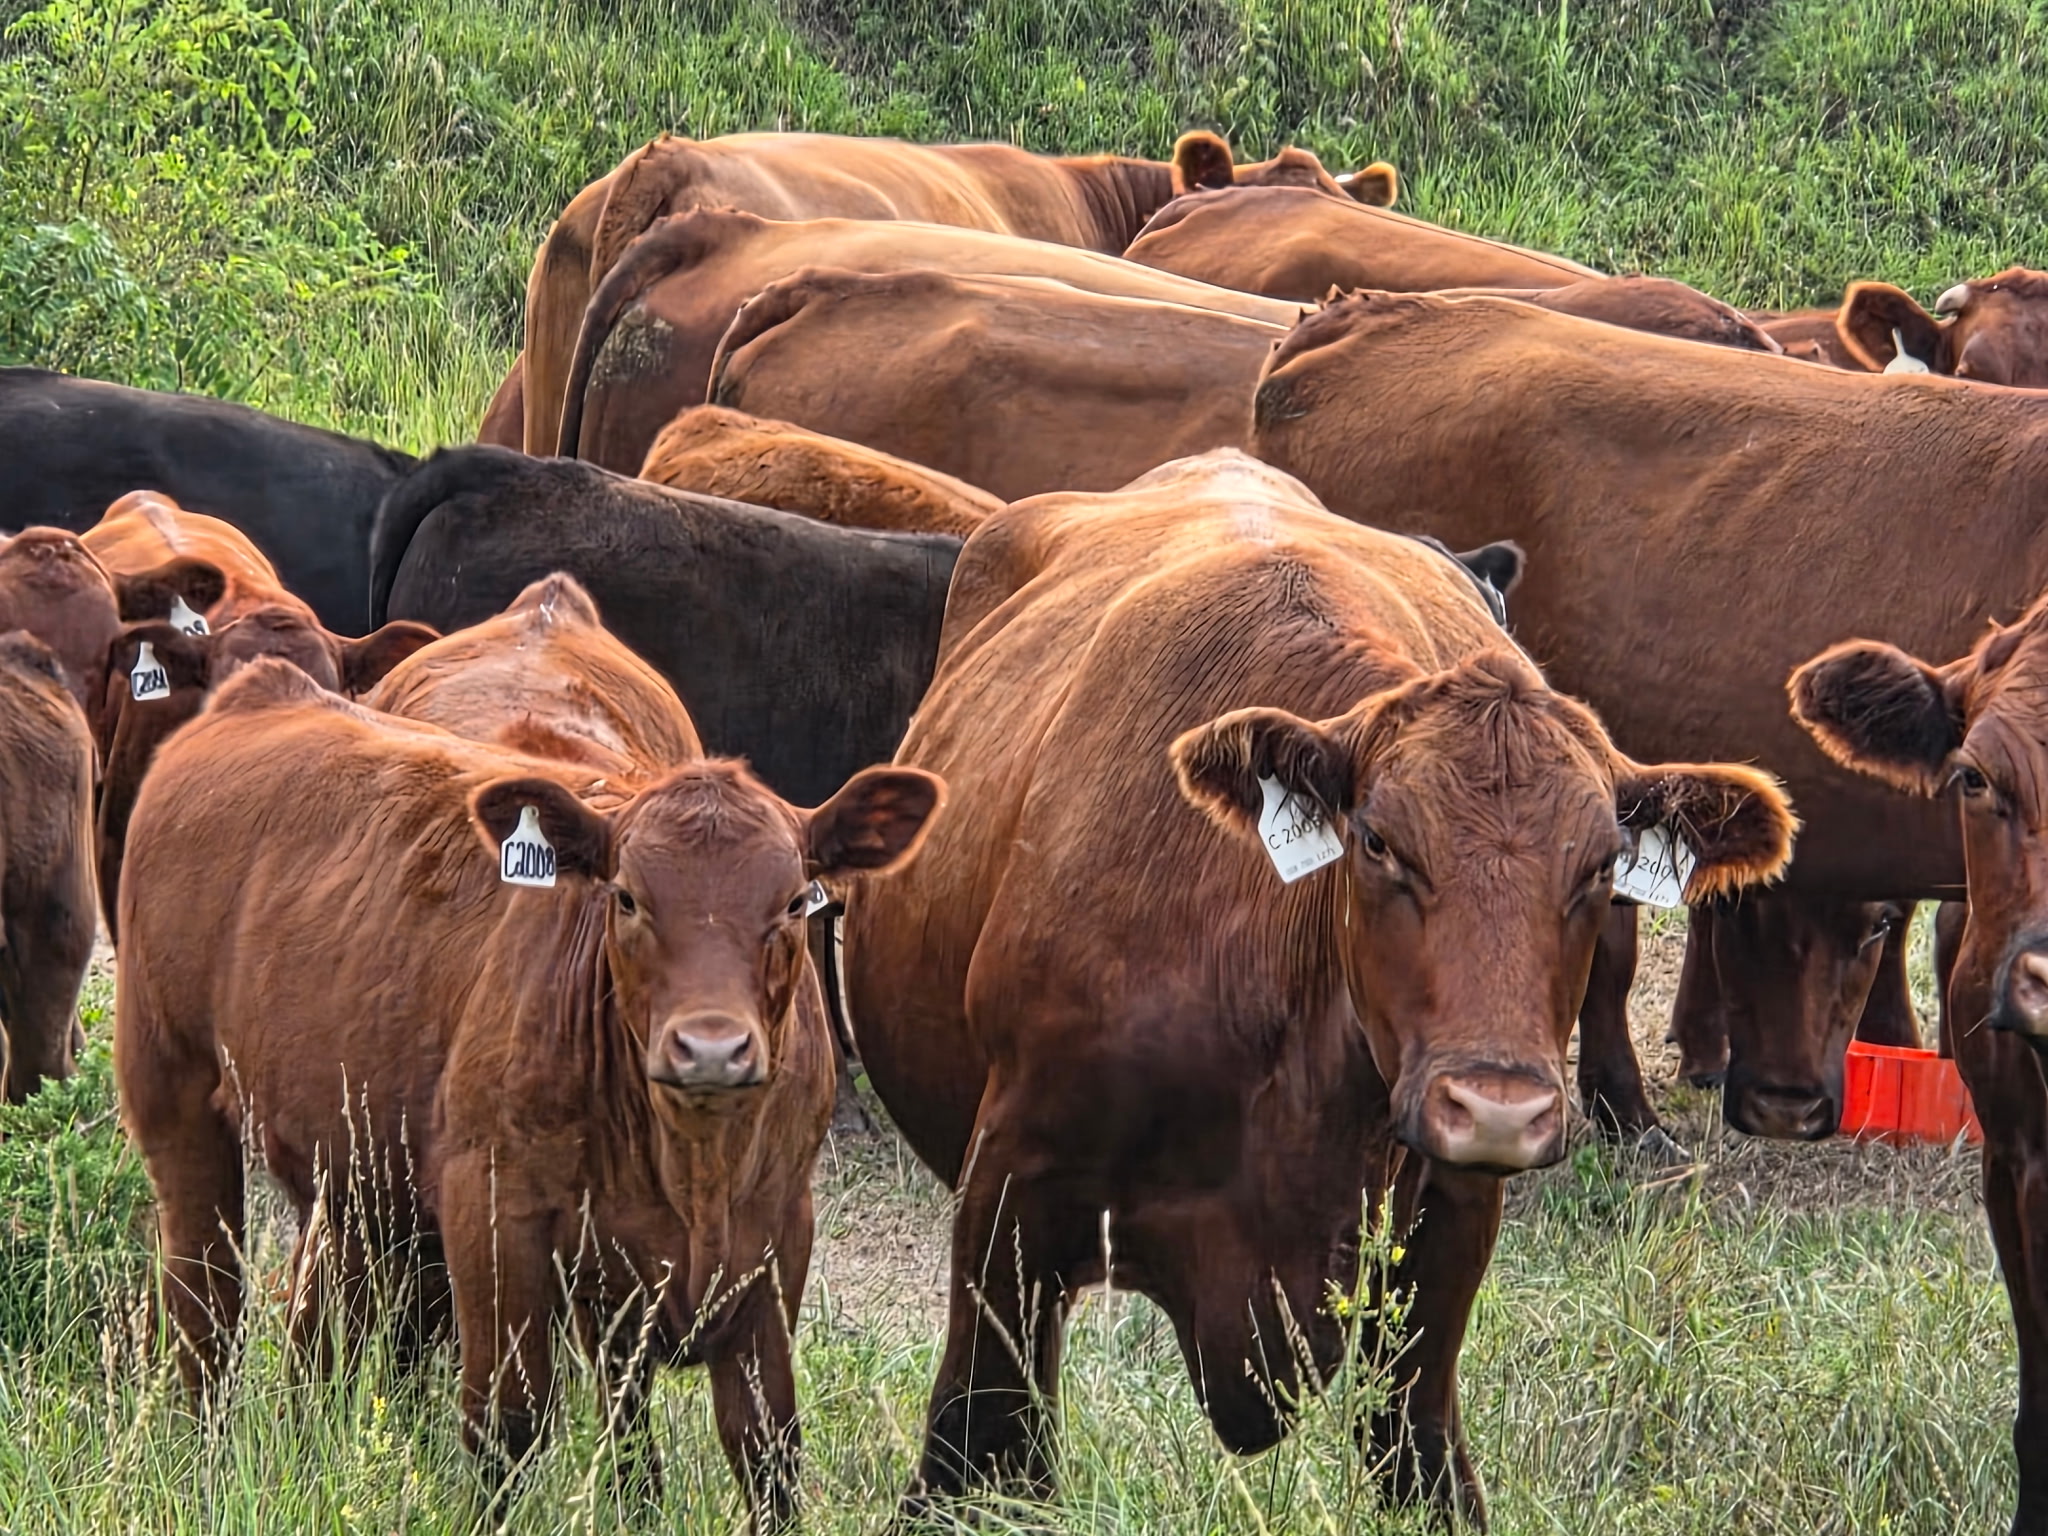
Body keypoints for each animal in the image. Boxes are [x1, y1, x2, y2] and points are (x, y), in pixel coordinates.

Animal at [116, 655, 941, 1522]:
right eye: (627, 897)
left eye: (790, 904)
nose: (710, 1048)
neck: (694, 1168)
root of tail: (260, 691)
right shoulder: (492, 1205)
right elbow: (508, 1424)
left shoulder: (772, 1235)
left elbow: (758, 1447)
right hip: (173, 1097)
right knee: (206, 1303)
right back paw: (203, 1465)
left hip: (358, 1164)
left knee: (322, 1318)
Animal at [841, 451, 1795, 1524]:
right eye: (1379, 842)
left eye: (1599, 866)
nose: (1497, 1110)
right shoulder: (1008, 1195)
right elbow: (975, 1447)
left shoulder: (1446, 1232)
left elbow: (1420, 1457)